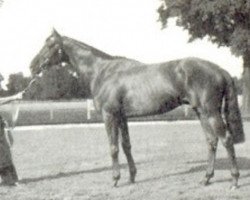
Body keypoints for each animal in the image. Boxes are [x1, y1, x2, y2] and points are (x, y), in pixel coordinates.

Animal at [24, 29, 244, 189]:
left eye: (50, 45)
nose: (32, 66)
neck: (102, 71)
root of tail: (220, 70)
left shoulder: (109, 115)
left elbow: (113, 147)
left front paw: (115, 179)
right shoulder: (122, 117)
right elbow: (126, 145)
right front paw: (131, 177)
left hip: (211, 112)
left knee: (226, 139)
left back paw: (234, 180)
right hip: (200, 112)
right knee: (212, 141)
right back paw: (206, 178)